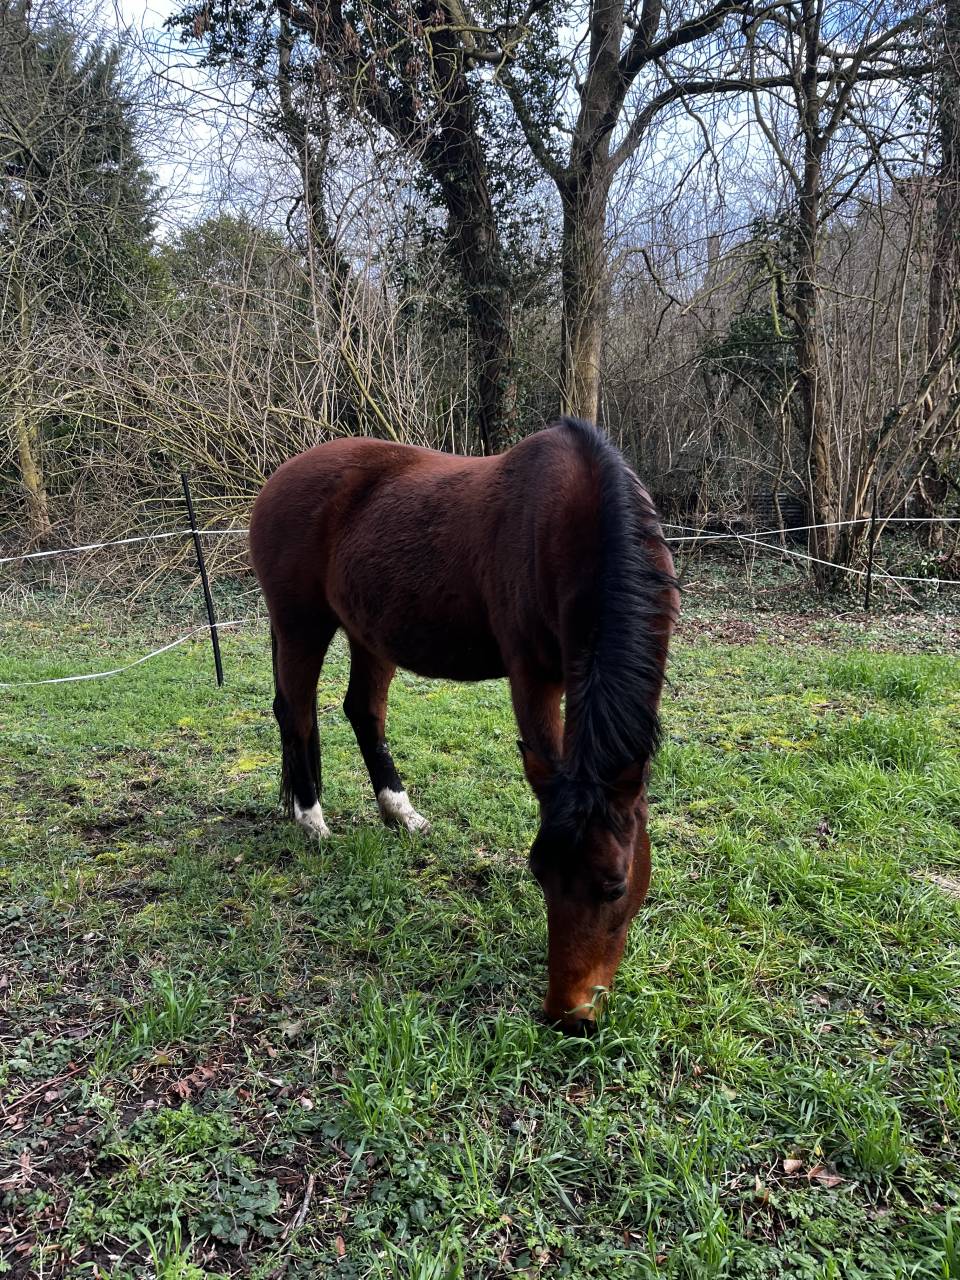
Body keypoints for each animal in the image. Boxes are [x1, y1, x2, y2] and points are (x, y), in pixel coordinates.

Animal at [249, 417, 679, 1034]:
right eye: (539, 873)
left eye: (615, 885)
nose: (567, 1017)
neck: (581, 520)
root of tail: (279, 478)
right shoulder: (534, 678)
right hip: (300, 625)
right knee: (298, 712)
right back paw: (312, 820)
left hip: (367, 629)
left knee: (361, 711)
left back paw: (399, 813)